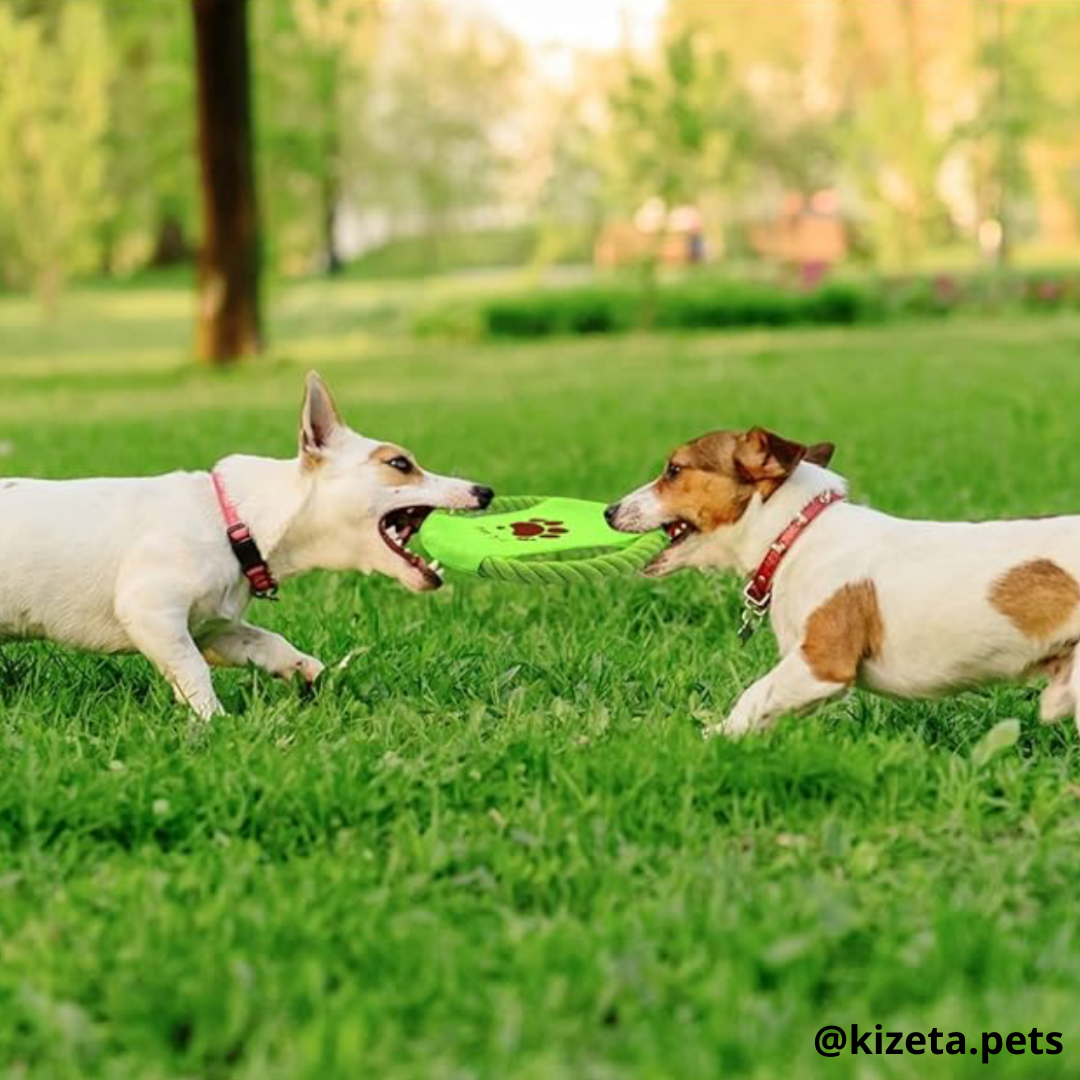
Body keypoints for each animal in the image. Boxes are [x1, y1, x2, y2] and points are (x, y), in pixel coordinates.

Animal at [0, 375, 490, 721]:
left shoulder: (211, 628)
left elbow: (266, 642)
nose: (484, 491)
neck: (235, 521)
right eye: (400, 464)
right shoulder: (153, 612)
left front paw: (309, 672)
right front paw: (214, 721)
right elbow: (194, 671)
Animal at [609, 425, 1080, 738]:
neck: (795, 535)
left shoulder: (820, 664)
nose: (609, 511)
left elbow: (752, 696)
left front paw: (708, 740)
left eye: (674, 470)